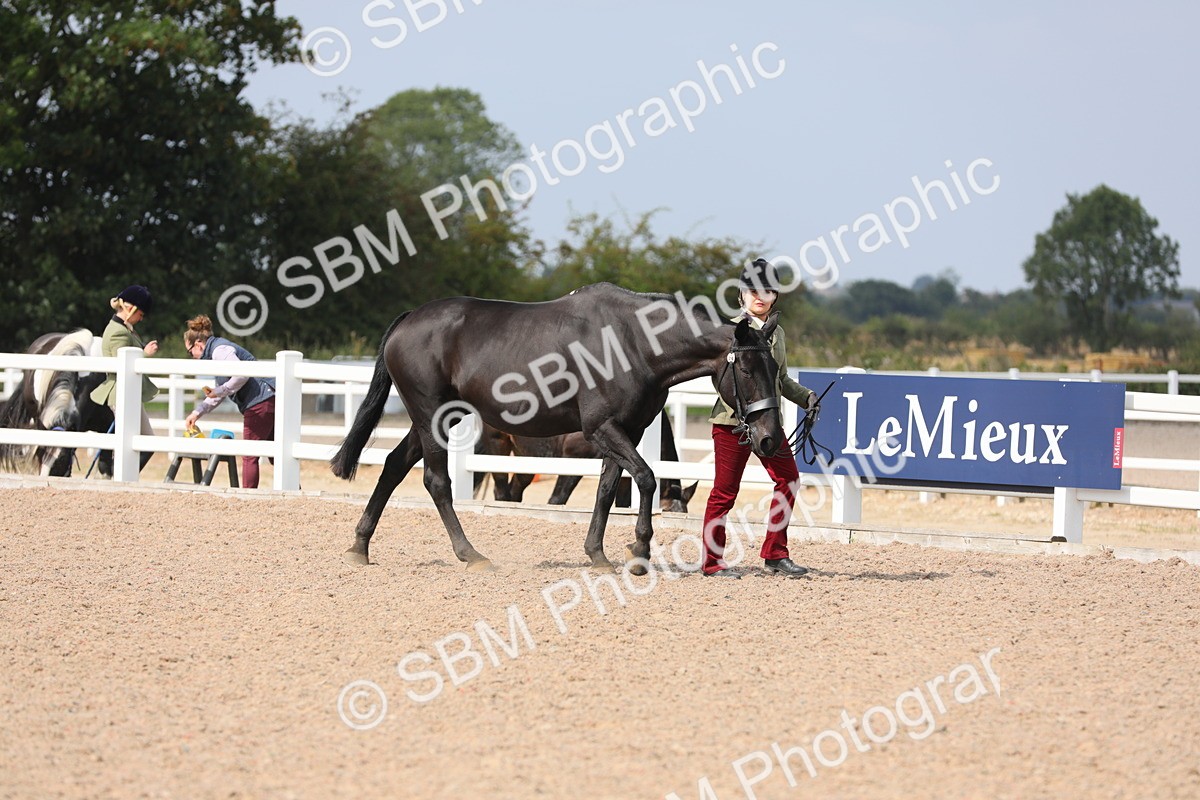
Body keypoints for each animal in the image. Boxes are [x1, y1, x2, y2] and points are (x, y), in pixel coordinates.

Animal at [477, 410, 698, 511]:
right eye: (666, 509)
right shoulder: (573, 458)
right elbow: (557, 499)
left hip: (528, 459)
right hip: (498, 445)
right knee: (501, 489)